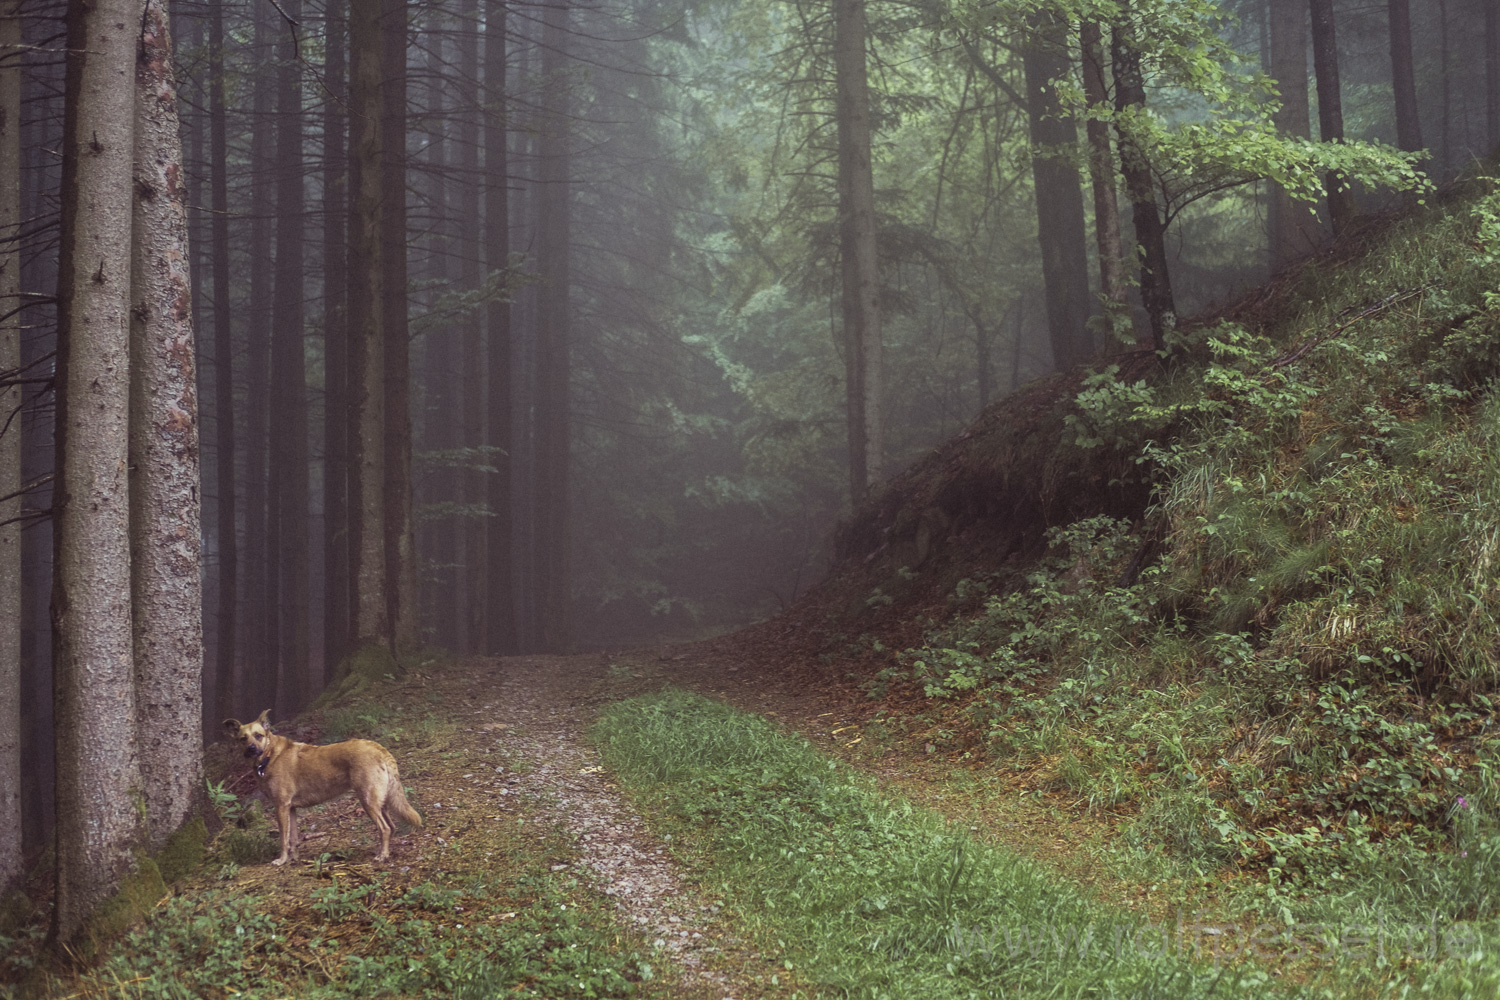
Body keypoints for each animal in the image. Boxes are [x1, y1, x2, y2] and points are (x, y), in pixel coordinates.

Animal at [222, 710, 423, 869]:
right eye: (243, 739)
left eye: (258, 735)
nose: (251, 748)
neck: (269, 756)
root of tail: (379, 748)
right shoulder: (291, 808)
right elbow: (293, 838)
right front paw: (294, 859)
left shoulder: (281, 806)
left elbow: (283, 839)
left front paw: (282, 860)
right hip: (380, 801)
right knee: (391, 827)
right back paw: (384, 852)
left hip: (367, 801)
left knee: (385, 828)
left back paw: (382, 856)